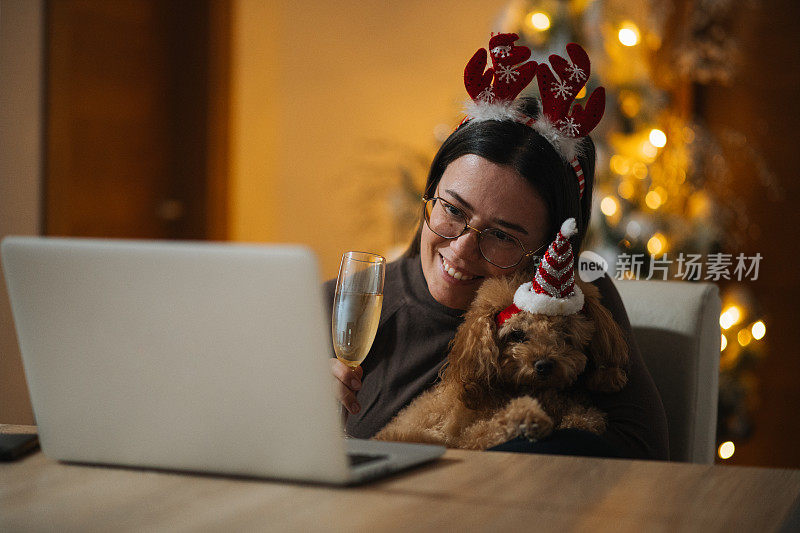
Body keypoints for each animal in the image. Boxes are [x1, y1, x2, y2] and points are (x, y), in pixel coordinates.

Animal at [376, 274, 632, 448]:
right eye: (516, 334)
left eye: (565, 334)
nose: (543, 365)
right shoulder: (468, 438)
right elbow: (490, 430)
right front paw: (527, 419)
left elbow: (584, 417)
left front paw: (579, 417)